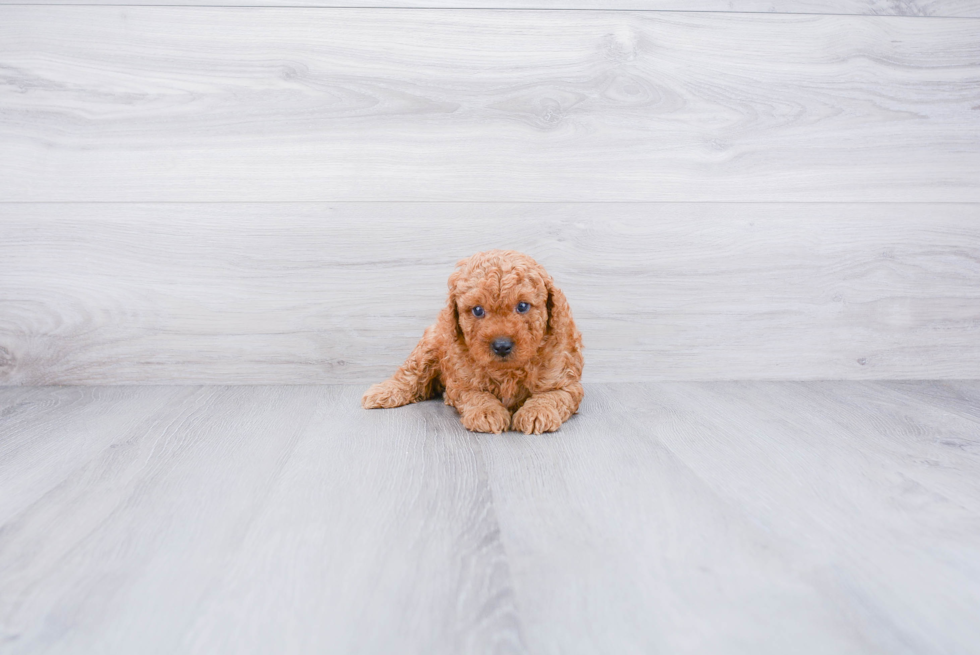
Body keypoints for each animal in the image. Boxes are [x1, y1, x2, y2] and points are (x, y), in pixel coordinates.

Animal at [364, 251, 584, 436]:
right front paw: (486, 412)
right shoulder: (461, 383)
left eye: (522, 306)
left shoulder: (566, 382)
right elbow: (477, 395)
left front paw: (537, 412)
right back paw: (383, 392)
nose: (502, 345)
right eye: (478, 310)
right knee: (410, 373)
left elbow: (551, 396)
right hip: (430, 344)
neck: (508, 371)